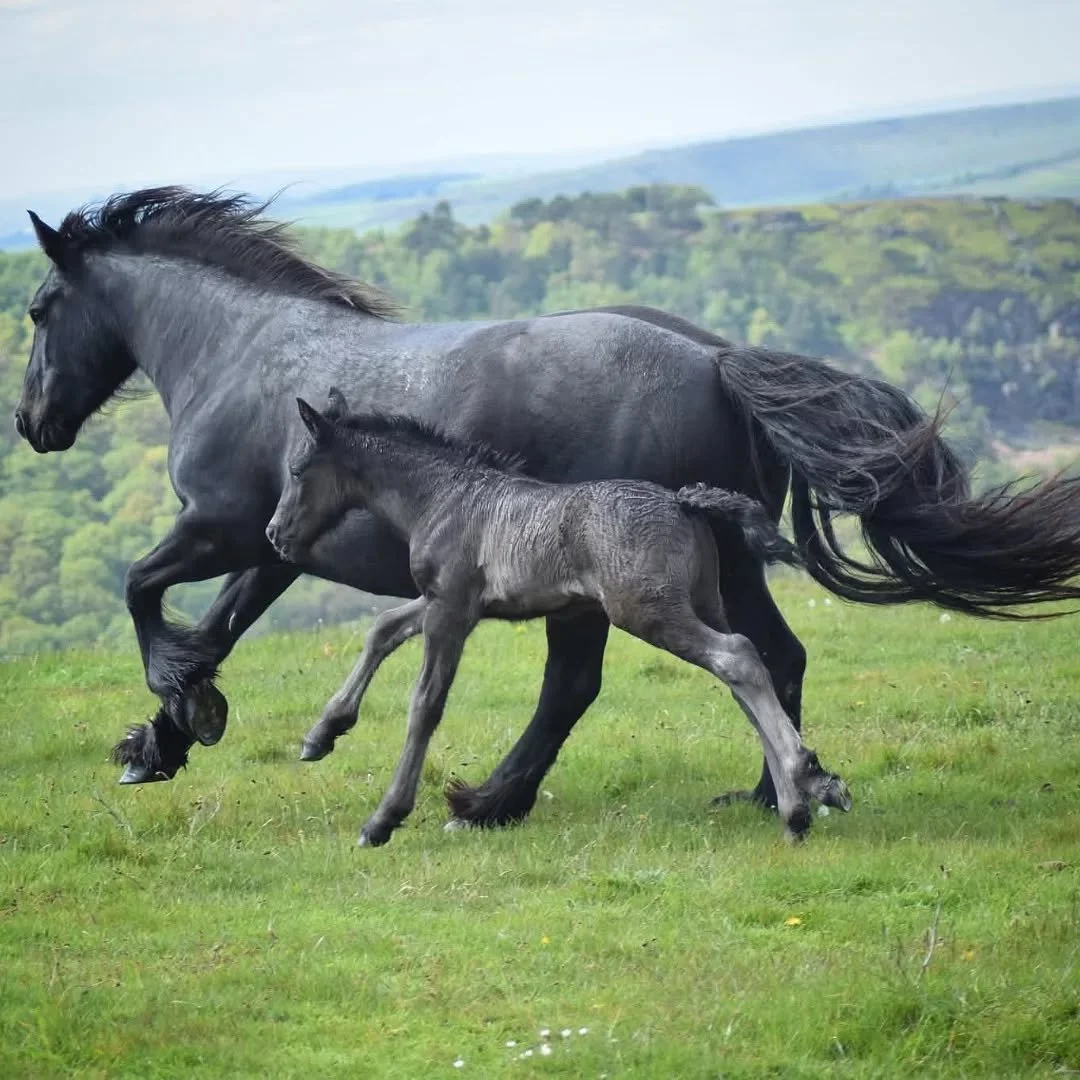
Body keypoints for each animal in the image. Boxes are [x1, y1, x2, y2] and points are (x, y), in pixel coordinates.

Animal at [266, 393, 852, 845]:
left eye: (297, 471)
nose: (275, 534)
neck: (444, 497)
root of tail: (684, 502)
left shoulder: (452, 606)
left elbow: (425, 704)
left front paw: (383, 820)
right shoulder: (441, 600)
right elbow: (382, 628)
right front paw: (321, 735)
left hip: (647, 612)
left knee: (739, 657)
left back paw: (806, 783)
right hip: (702, 602)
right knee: (745, 674)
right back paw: (798, 805)